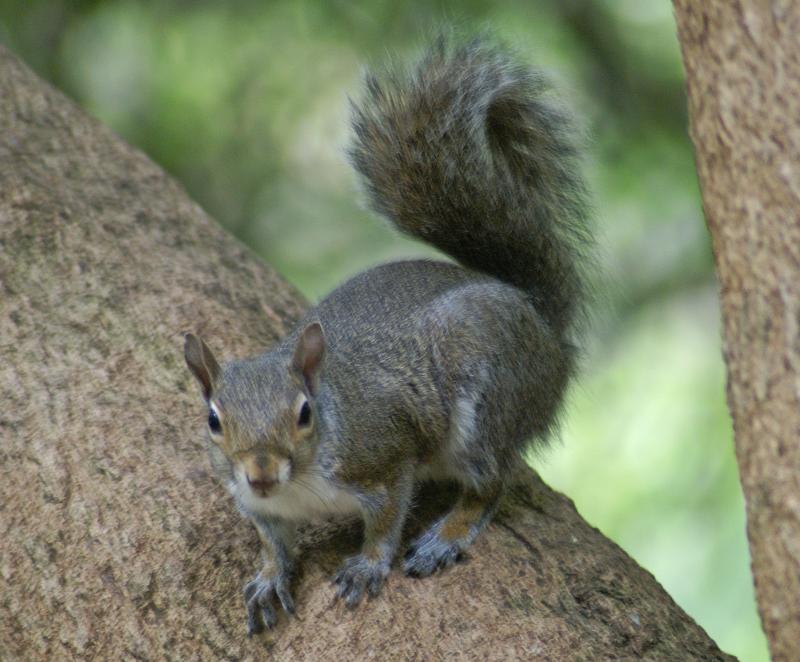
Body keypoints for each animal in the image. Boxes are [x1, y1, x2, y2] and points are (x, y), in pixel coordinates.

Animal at [184, 34, 593, 635]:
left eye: (304, 413)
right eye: (214, 420)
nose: (260, 474)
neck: (301, 484)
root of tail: (543, 330)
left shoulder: (385, 457)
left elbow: (386, 520)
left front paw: (368, 565)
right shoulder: (257, 507)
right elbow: (272, 543)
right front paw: (269, 577)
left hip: (483, 391)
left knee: (491, 482)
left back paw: (448, 535)